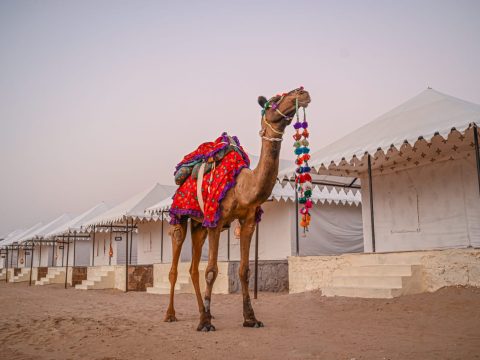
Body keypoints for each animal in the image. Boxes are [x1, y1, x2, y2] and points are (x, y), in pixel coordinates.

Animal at [165, 86, 312, 330]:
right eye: (274, 100)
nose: (302, 91)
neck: (242, 188)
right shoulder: (215, 221)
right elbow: (211, 271)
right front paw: (206, 323)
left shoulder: (248, 221)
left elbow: (244, 270)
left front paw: (250, 318)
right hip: (181, 216)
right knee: (175, 265)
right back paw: (171, 314)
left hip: (199, 226)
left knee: (193, 268)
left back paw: (201, 311)